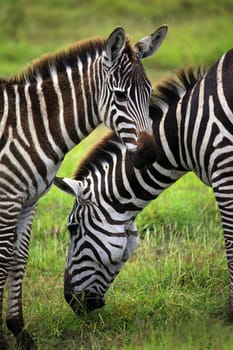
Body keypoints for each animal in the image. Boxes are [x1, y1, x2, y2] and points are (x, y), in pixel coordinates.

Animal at [0, 25, 168, 350]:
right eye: (120, 95)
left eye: (150, 91)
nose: (149, 154)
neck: (32, 127)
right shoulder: (7, 199)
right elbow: (2, 262)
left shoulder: (28, 200)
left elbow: (17, 259)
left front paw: (20, 333)